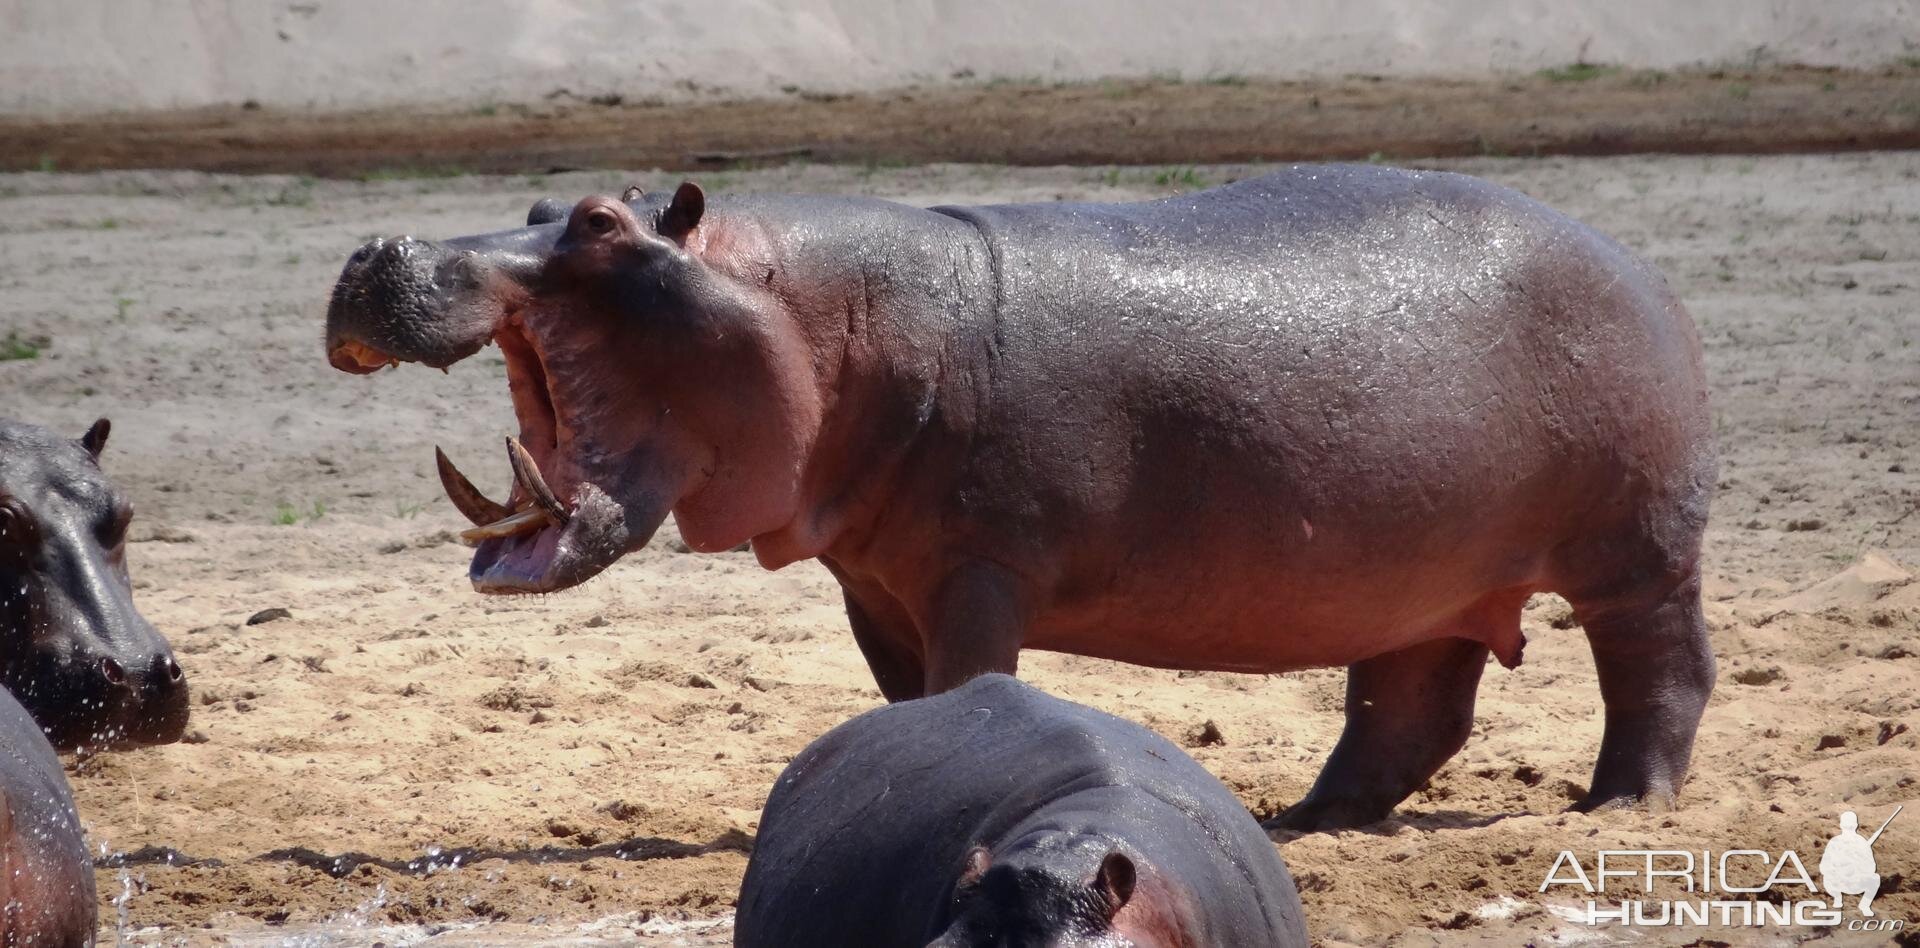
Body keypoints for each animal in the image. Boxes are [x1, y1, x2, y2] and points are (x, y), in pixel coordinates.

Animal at [322, 165, 1720, 829]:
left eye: (603, 222)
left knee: (1659, 672)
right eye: (534, 200)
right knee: (1411, 705)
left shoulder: (977, 570)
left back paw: (1624, 807)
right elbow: (911, 699)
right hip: (1418, 581)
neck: (812, 307)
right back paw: (1309, 818)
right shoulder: (875, 583)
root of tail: (1635, 259)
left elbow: (970, 680)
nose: (381, 244)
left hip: (1636, 553)